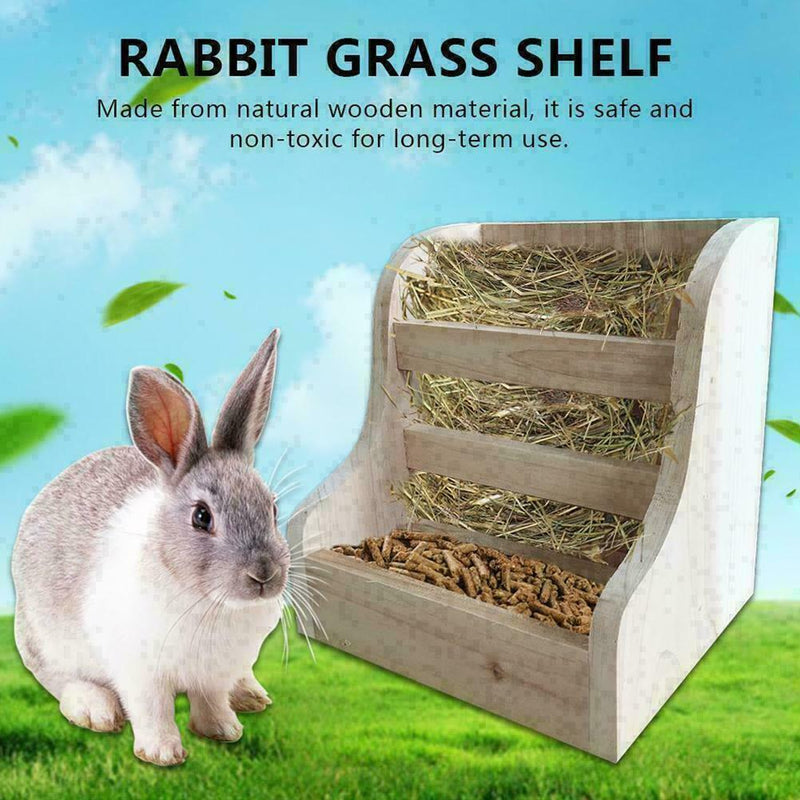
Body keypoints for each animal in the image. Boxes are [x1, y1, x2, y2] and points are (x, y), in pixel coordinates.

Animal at [12, 330, 290, 766]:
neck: (208, 601)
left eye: (273, 509)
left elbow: (211, 701)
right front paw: (163, 754)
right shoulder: (140, 671)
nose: (264, 575)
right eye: (201, 517)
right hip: (44, 641)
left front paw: (223, 731)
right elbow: (152, 709)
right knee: (60, 680)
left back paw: (250, 695)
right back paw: (95, 709)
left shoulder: (213, 673)